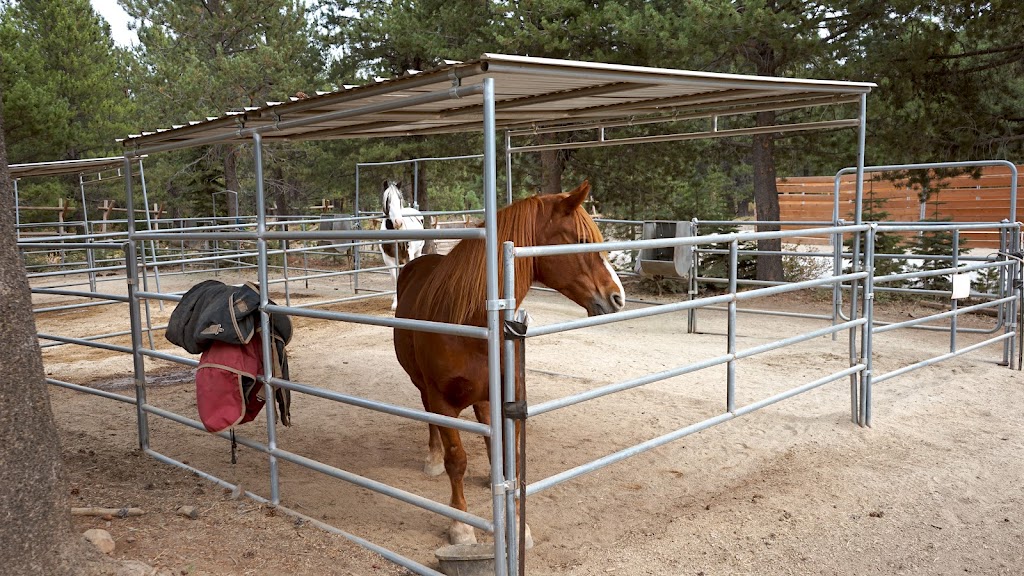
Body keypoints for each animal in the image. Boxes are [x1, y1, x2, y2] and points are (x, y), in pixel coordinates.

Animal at [378, 180, 421, 309]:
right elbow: (395, 278)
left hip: (418, 252)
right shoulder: (388, 259)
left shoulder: (408, 255)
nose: (398, 222)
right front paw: (395, 303)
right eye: (388, 199)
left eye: (400, 198)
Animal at [391, 181, 622, 545]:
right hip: (424, 386)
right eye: (584, 241)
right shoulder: (442, 400)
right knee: (430, 419)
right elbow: (456, 459)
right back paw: (433, 458)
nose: (617, 297)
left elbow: (507, 457)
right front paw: (461, 526)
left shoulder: (505, 399)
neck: (469, 321)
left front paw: (516, 525)